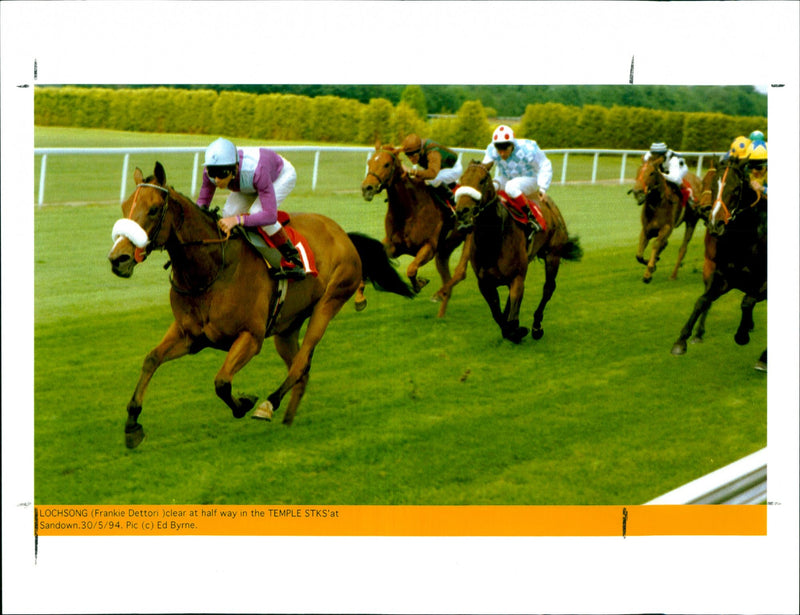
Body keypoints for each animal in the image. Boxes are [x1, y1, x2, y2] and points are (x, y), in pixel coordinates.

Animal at [109, 160, 416, 448]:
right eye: (124, 206)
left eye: (153, 209)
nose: (118, 259)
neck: (212, 268)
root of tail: (342, 234)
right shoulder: (190, 336)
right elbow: (151, 359)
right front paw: (132, 423)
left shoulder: (251, 337)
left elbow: (222, 382)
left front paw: (244, 402)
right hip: (287, 328)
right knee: (301, 370)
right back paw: (287, 421)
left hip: (329, 302)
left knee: (301, 362)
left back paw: (269, 404)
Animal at [360, 144, 468, 318]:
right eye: (369, 162)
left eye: (386, 164)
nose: (366, 188)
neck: (410, 210)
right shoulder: (392, 245)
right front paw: (359, 299)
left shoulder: (429, 247)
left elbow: (411, 270)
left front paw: (419, 284)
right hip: (445, 250)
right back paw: (441, 312)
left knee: (460, 272)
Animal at [454, 161, 584, 344]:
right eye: (461, 179)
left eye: (482, 180)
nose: (462, 210)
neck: (492, 242)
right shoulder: (484, 282)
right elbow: (498, 316)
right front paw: (511, 330)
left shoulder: (517, 276)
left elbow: (512, 316)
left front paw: (518, 330)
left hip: (553, 254)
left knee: (548, 287)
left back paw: (537, 326)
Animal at [632, 156, 700, 286]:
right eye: (638, 171)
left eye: (651, 173)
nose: (637, 191)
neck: (657, 205)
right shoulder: (646, 229)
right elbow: (639, 255)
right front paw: (652, 264)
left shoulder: (666, 227)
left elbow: (656, 244)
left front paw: (648, 274)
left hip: (691, 221)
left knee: (683, 248)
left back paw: (673, 275)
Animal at [668, 158, 768, 370]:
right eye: (714, 186)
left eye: (736, 189)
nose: (716, 223)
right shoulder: (724, 277)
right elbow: (702, 300)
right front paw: (681, 341)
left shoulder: (763, 285)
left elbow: (747, 301)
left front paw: (742, 335)